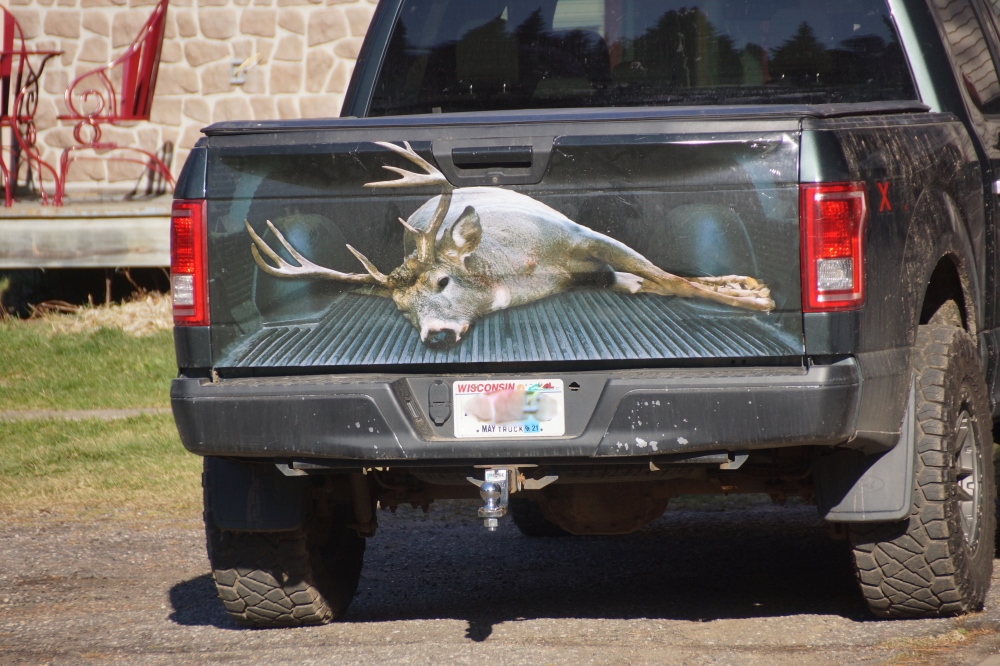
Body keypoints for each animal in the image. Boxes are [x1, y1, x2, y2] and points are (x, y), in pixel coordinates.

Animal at [245, 141, 775, 349]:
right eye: (400, 309)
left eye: (443, 280)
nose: (436, 335)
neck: (521, 270)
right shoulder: (593, 276)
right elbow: (656, 282)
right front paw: (747, 290)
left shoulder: (581, 235)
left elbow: (669, 277)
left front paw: (755, 298)